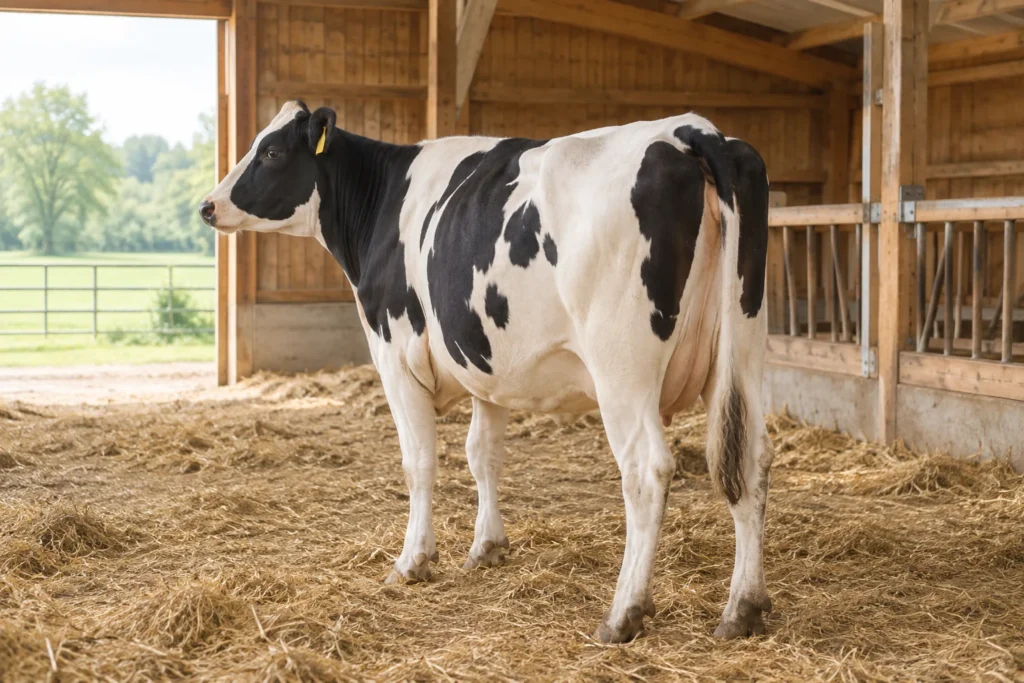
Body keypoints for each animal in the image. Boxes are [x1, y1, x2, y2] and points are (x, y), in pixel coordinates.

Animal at [200, 100, 774, 643]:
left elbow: (419, 462)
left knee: (647, 468)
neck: (384, 201)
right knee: (750, 459)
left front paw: (413, 561)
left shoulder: (395, 357)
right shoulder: (487, 368)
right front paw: (487, 547)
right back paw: (742, 609)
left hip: (622, 365)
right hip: (742, 349)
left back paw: (623, 612)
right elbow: (483, 455)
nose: (208, 205)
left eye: (271, 151)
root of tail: (689, 129)